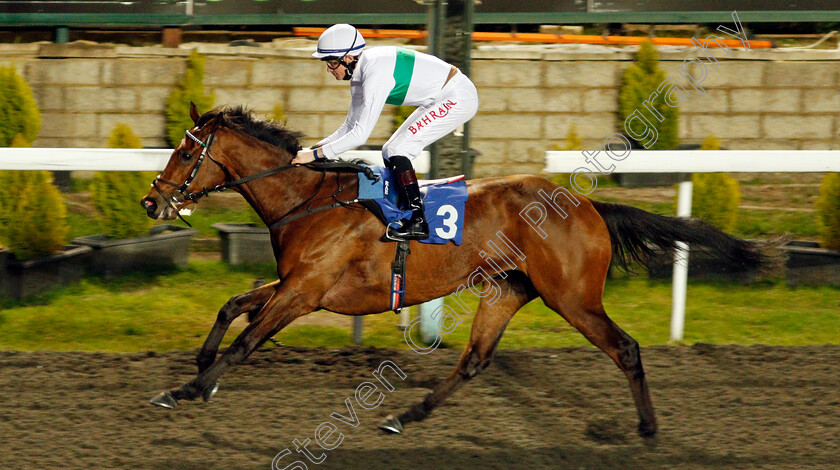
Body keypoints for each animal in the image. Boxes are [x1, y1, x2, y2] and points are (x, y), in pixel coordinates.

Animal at [141, 104, 764, 438]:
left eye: (184, 152)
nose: (151, 202)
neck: (309, 201)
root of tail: (588, 205)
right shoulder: (297, 283)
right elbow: (232, 307)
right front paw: (200, 370)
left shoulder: (306, 291)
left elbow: (248, 340)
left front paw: (188, 388)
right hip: (508, 290)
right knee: (475, 360)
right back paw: (405, 415)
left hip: (572, 298)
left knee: (626, 349)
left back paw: (649, 429)